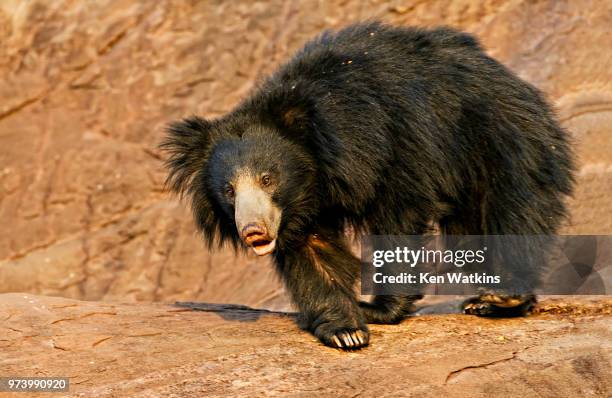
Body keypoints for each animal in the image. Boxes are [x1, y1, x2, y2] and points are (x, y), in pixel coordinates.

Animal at [163, 23, 572, 350]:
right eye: (229, 190)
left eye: (268, 178)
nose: (253, 231)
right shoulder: (301, 206)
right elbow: (313, 250)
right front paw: (345, 330)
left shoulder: (395, 144)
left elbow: (398, 221)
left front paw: (378, 309)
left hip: (500, 138)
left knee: (513, 211)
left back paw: (501, 298)